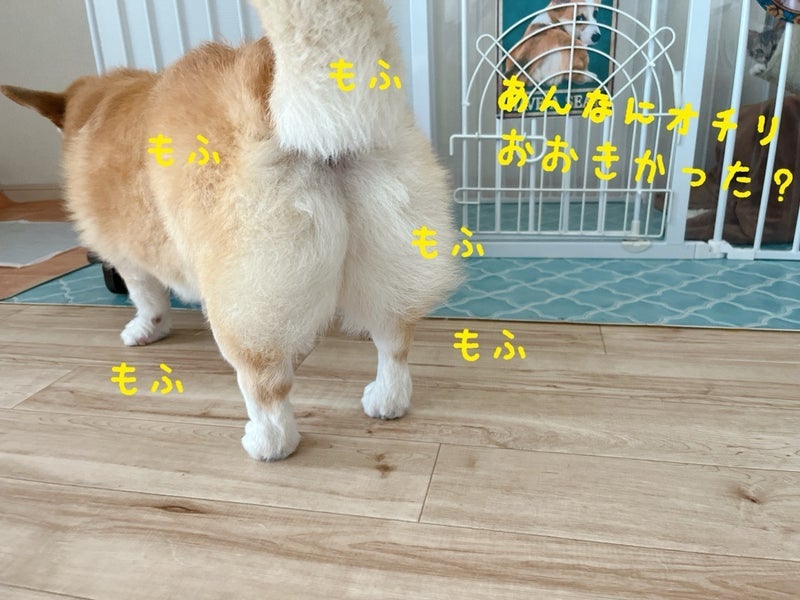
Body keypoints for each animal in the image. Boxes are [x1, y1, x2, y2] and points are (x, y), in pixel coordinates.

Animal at [1, 0, 461, 461]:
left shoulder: (128, 257)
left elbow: (147, 299)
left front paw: (146, 330)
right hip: (389, 262)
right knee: (394, 343)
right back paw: (387, 399)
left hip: (241, 303)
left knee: (267, 387)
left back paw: (266, 441)